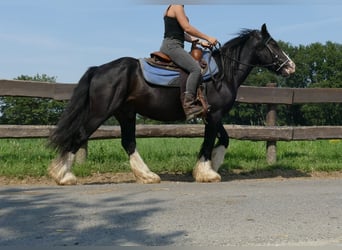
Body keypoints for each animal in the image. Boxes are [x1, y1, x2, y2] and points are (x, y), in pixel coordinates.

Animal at [48, 24, 296, 185]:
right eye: (273, 45)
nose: (291, 66)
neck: (223, 73)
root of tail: (99, 69)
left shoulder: (211, 115)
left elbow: (223, 139)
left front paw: (210, 166)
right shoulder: (214, 115)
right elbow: (209, 142)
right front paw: (207, 173)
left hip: (125, 113)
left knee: (128, 142)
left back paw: (147, 175)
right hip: (101, 112)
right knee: (80, 135)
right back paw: (64, 175)